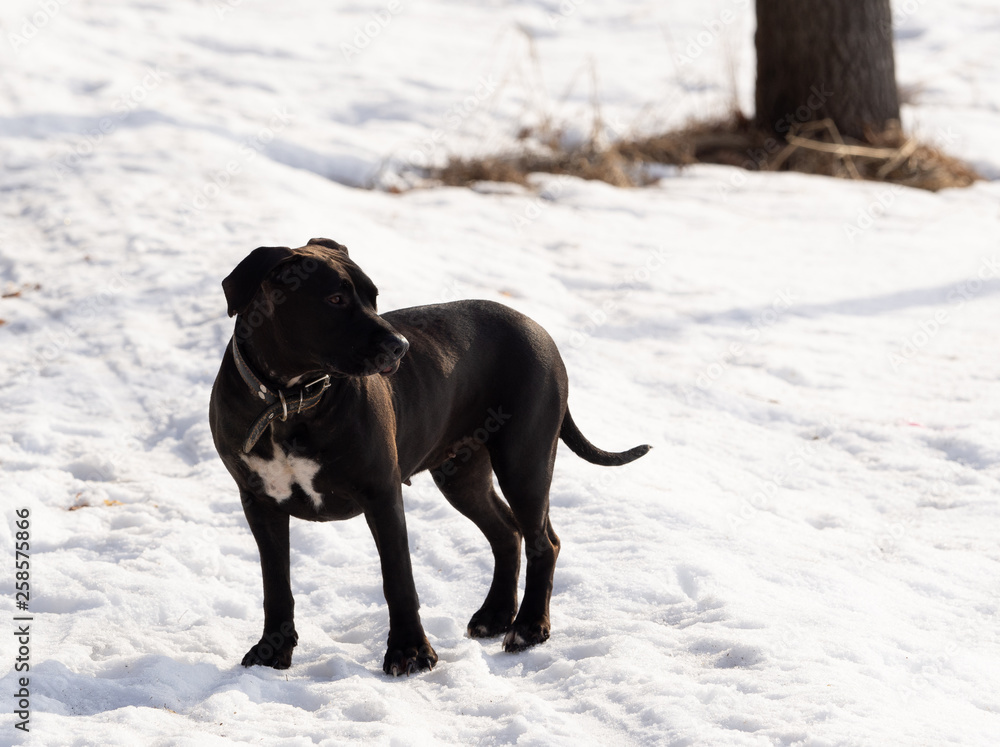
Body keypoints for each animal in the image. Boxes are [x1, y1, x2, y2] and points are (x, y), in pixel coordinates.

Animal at [209, 240, 648, 676]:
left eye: (373, 297)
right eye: (335, 299)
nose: (400, 347)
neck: (289, 401)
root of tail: (537, 328)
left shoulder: (382, 495)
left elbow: (398, 578)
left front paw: (410, 652)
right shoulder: (259, 503)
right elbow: (275, 583)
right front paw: (271, 651)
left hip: (524, 462)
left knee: (544, 541)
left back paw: (527, 628)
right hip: (462, 475)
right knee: (508, 532)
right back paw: (495, 615)